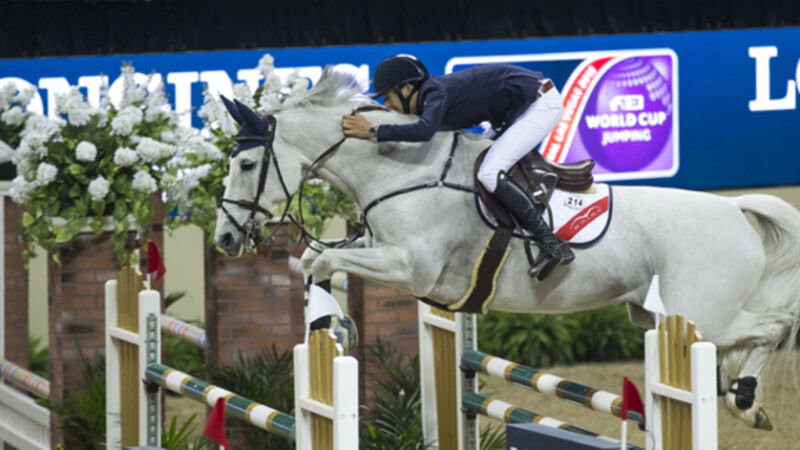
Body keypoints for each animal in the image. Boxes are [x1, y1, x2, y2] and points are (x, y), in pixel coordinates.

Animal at [213, 68, 800, 431]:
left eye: (246, 164)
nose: (224, 239)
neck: (402, 170)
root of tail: (733, 209)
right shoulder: (385, 255)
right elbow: (315, 263)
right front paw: (333, 326)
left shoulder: (412, 268)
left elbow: (327, 259)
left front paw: (336, 326)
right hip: (660, 314)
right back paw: (747, 404)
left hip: (700, 313)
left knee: (774, 325)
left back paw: (747, 401)